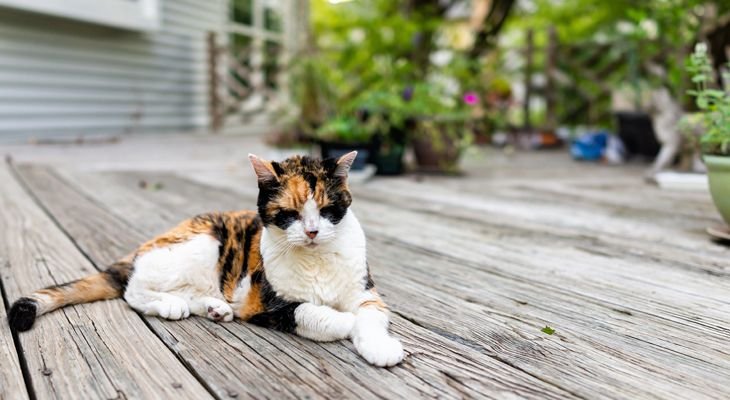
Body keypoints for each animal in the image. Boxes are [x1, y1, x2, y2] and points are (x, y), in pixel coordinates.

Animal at [7, 152, 404, 368]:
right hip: (203, 243)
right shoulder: (265, 303)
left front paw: (379, 346)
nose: (311, 232)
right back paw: (170, 305)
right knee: (133, 289)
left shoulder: (365, 293)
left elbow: (370, 315)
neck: (315, 259)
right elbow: (311, 313)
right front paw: (344, 322)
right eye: (289, 214)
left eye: (325, 210)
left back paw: (215, 308)